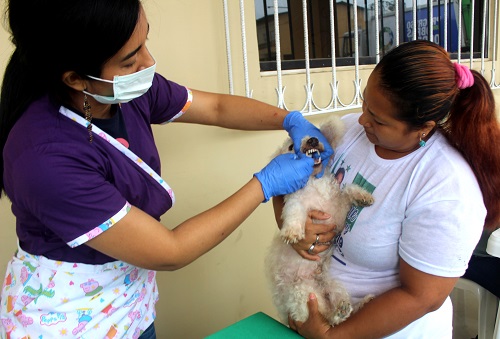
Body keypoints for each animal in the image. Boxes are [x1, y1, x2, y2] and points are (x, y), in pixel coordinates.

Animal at [264, 116, 374, 326]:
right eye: (291, 146)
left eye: (314, 135)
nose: (313, 140)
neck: (314, 183)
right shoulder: (295, 202)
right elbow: (294, 213)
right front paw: (291, 231)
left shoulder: (337, 213)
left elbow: (348, 190)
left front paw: (363, 196)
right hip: (303, 293)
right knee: (327, 317)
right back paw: (340, 312)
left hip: (332, 283)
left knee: (338, 309)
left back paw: (353, 305)